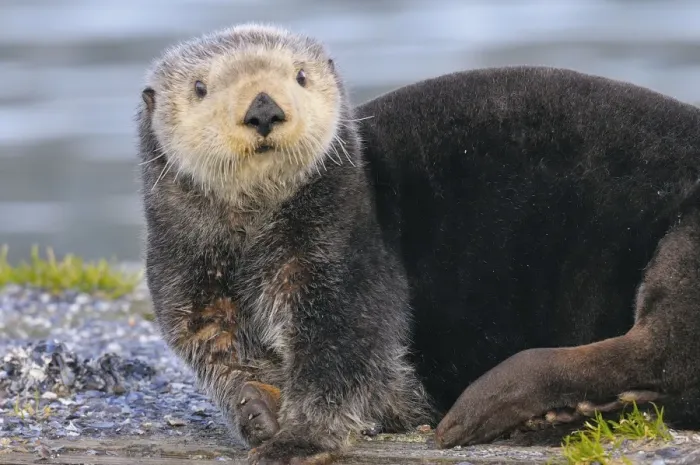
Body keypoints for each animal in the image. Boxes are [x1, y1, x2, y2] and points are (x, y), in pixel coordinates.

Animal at [138, 23, 700, 465]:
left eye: (300, 76)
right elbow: (224, 357)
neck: (252, 238)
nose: (263, 108)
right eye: (200, 87)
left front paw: (297, 440)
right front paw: (257, 412)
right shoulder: (190, 285)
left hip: (687, 240)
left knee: (659, 350)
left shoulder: (340, 252)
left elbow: (340, 353)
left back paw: (503, 407)